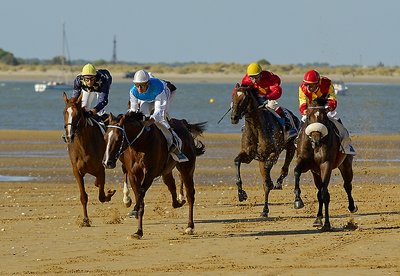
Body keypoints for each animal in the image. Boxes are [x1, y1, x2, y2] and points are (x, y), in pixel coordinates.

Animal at [62, 92, 115, 226]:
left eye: (77, 114)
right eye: (64, 112)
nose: (69, 136)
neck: (83, 147)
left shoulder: (101, 169)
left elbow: (102, 196)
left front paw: (109, 193)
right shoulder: (77, 171)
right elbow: (83, 196)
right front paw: (85, 220)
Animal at [231, 85, 300, 217]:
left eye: (244, 98)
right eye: (233, 97)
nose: (234, 117)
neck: (256, 128)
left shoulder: (273, 153)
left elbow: (268, 177)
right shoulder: (249, 155)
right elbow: (237, 162)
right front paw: (241, 194)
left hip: (290, 146)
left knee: (284, 168)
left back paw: (278, 185)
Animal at [292, 99, 358, 231]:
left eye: (324, 117)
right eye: (309, 116)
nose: (316, 140)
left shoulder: (326, 164)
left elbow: (324, 194)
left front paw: (327, 224)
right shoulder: (305, 162)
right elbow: (296, 172)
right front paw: (298, 200)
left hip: (346, 164)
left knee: (347, 185)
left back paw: (352, 207)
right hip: (316, 173)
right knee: (320, 191)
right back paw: (318, 218)